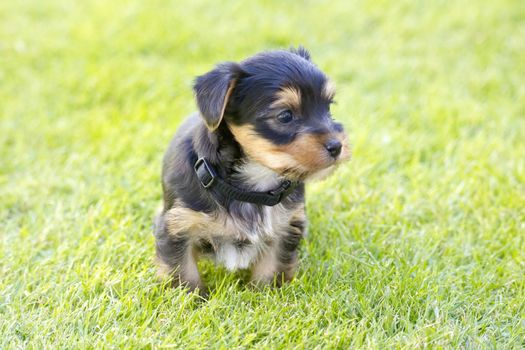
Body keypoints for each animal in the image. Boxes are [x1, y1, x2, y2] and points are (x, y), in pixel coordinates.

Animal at [152, 47, 348, 292]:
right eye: (285, 115)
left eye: (329, 107)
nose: (337, 146)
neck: (255, 182)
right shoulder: (177, 226)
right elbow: (183, 271)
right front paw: (192, 297)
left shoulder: (284, 227)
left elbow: (271, 268)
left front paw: (264, 293)